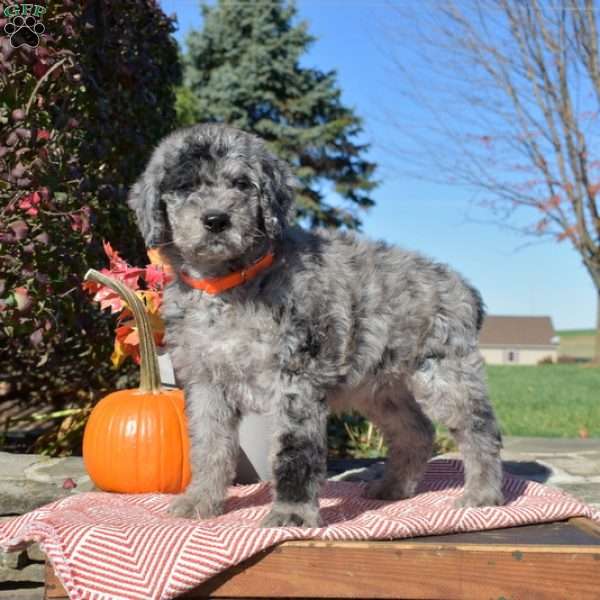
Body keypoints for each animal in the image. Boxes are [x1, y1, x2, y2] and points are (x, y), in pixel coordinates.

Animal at [129, 123, 504, 524]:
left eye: (242, 184)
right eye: (186, 187)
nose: (216, 220)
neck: (228, 285)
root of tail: (464, 287)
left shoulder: (296, 377)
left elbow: (294, 452)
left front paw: (291, 514)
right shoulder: (205, 382)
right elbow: (209, 446)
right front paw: (200, 501)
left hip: (445, 372)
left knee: (479, 429)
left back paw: (482, 494)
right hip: (381, 387)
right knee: (415, 431)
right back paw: (392, 488)